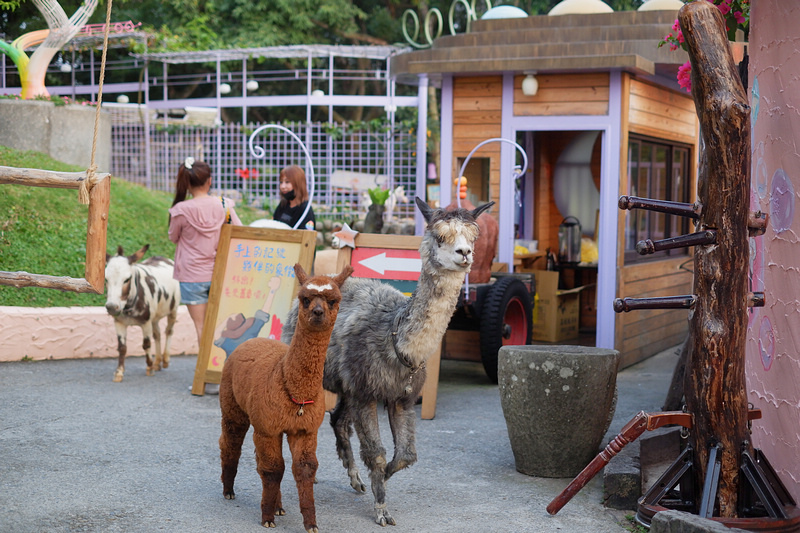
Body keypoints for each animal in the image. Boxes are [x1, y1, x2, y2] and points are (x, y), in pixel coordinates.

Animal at [104, 243, 180, 380]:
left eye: (127, 279)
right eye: (106, 279)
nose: (112, 307)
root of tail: (163, 258)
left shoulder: (146, 323)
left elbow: (146, 344)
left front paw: (149, 367)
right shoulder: (119, 323)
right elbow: (122, 348)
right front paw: (119, 372)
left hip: (173, 310)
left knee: (169, 331)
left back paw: (165, 360)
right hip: (155, 317)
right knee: (157, 334)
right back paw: (157, 362)